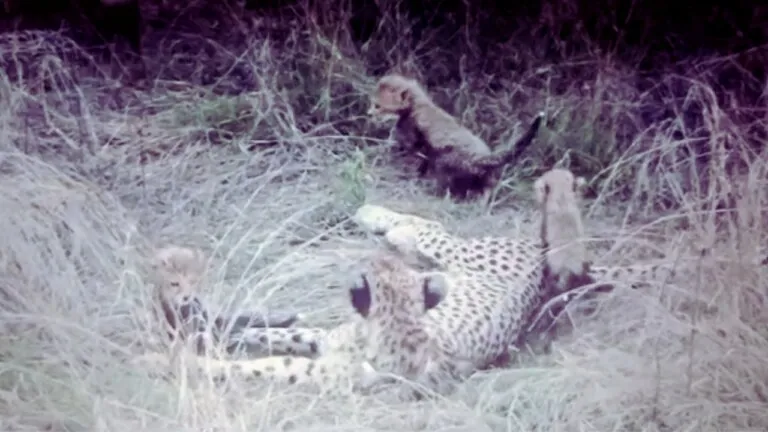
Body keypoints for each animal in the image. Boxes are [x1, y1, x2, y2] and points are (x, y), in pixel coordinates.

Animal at [131, 168, 596, 395]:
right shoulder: (326, 340)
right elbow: (276, 333)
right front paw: (220, 329)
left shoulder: (315, 368)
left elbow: (252, 363)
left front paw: (173, 359)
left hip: (463, 252)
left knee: (428, 228)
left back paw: (374, 215)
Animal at [367, 73, 544, 202]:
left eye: (377, 106)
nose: (368, 113)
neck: (417, 104)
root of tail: (482, 156)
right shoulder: (424, 153)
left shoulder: (414, 145)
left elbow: (406, 158)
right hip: (484, 180)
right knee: (484, 194)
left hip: (444, 165)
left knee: (447, 188)